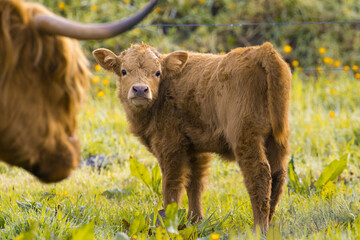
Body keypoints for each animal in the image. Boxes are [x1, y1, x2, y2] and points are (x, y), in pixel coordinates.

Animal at [94, 42, 292, 231]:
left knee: (259, 173)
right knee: (278, 175)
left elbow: (172, 184)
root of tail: (260, 50)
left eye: (157, 72)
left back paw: (259, 227)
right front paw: (195, 220)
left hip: (246, 136)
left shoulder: (170, 146)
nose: (141, 89)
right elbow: (195, 183)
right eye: (124, 71)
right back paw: (269, 223)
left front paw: (169, 220)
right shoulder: (196, 150)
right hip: (277, 139)